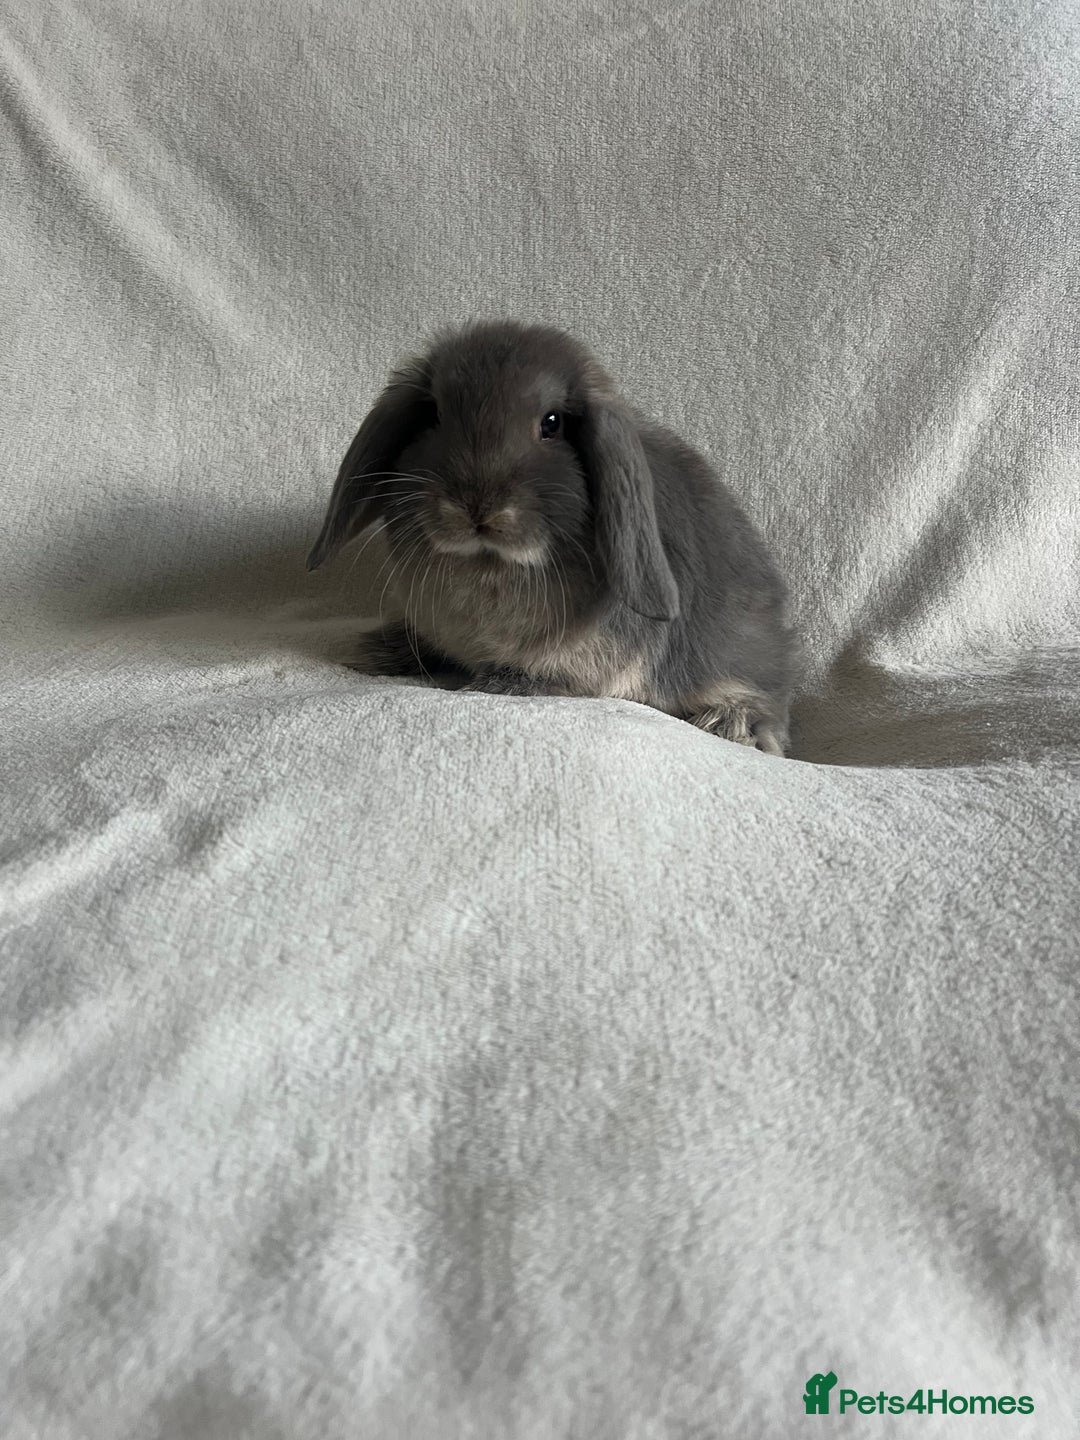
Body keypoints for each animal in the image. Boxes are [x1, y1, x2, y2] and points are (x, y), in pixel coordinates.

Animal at [307, 319, 797, 755]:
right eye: (434, 415)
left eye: (552, 422)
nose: (476, 506)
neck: (489, 564)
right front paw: (373, 651)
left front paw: (493, 685)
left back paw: (729, 724)